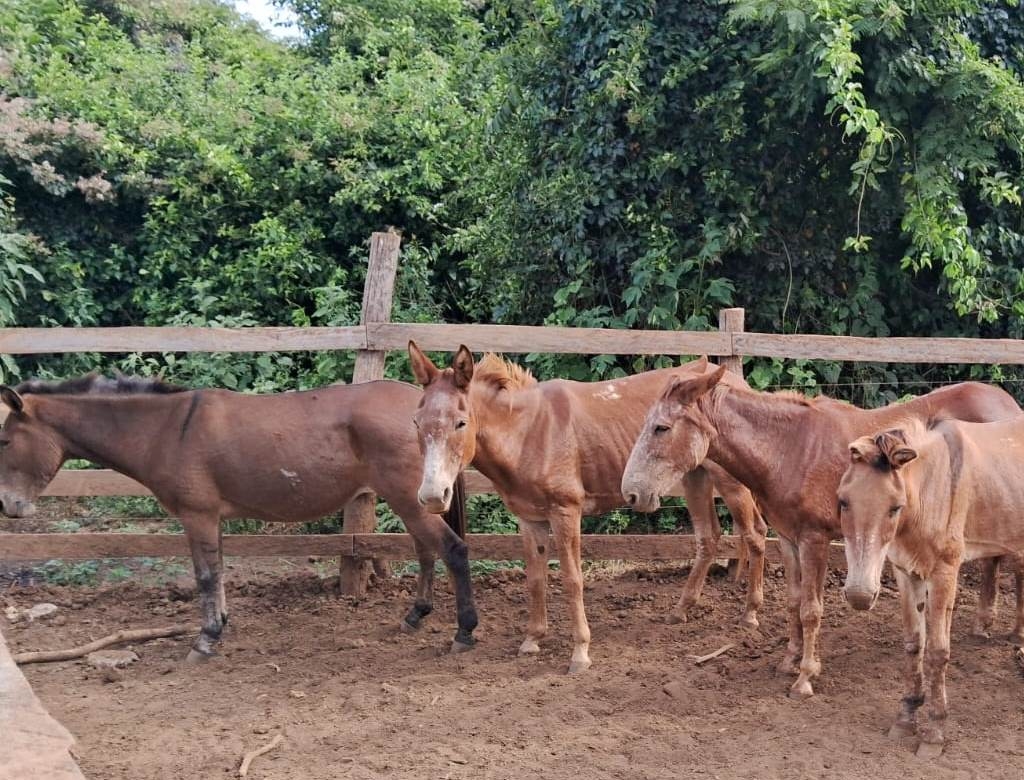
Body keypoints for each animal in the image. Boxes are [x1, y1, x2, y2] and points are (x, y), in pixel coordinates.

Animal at [0, 374, 479, 659]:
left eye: (3, 440)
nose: (9, 507)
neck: (166, 430)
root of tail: (428, 405)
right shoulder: (211, 518)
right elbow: (219, 573)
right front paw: (221, 625)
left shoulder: (196, 516)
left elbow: (204, 576)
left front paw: (205, 640)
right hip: (413, 499)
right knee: (427, 552)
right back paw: (415, 616)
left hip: (410, 498)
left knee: (453, 550)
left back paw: (464, 632)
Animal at [407, 343, 766, 674]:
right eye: (416, 422)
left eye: (460, 423)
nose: (433, 496)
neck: (529, 432)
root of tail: (736, 382)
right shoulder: (530, 519)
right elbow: (535, 579)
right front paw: (532, 639)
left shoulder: (566, 513)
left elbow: (572, 579)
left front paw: (580, 652)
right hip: (695, 477)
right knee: (709, 537)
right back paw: (681, 609)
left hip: (732, 483)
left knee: (755, 535)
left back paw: (750, 613)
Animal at [620, 367, 1021, 698]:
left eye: (661, 428)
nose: (632, 493)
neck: (790, 450)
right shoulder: (788, 538)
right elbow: (794, 601)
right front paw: (789, 660)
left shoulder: (814, 539)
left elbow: (812, 609)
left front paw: (806, 676)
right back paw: (990, 626)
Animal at [838, 420, 1024, 757]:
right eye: (843, 502)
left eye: (894, 508)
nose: (859, 596)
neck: (929, 494)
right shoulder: (905, 571)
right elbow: (914, 644)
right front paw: (906, 716)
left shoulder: (944, 573)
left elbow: (937, 651)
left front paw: (934, 733)